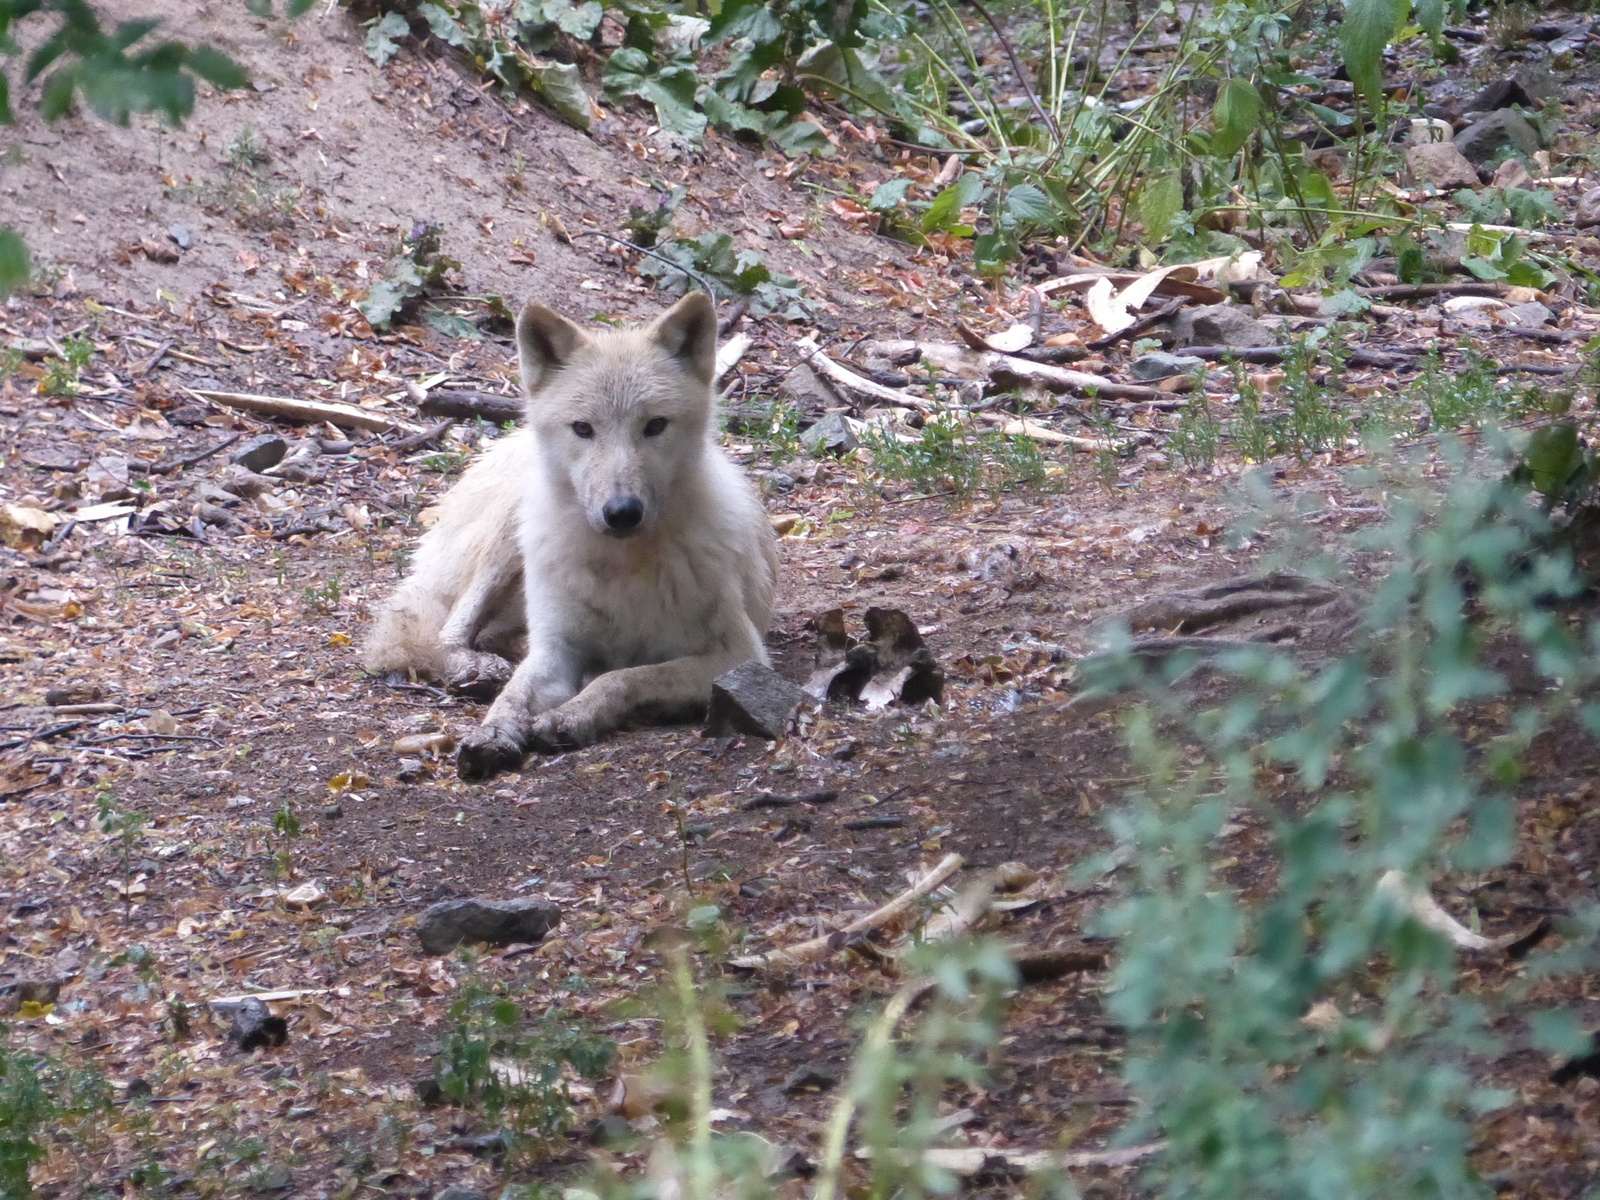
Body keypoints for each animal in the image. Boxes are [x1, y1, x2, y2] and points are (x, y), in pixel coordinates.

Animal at [368, 294, 780, 784]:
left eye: (655, 426)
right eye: (583, 428)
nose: (621, 512)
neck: (622, 565)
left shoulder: (738, 655)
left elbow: (627, 676)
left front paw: (573, 715)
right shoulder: (556, 649)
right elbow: (513, 695)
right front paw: (493, 732)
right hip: (509, 538)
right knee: (444, 634)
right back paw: (476, 668)